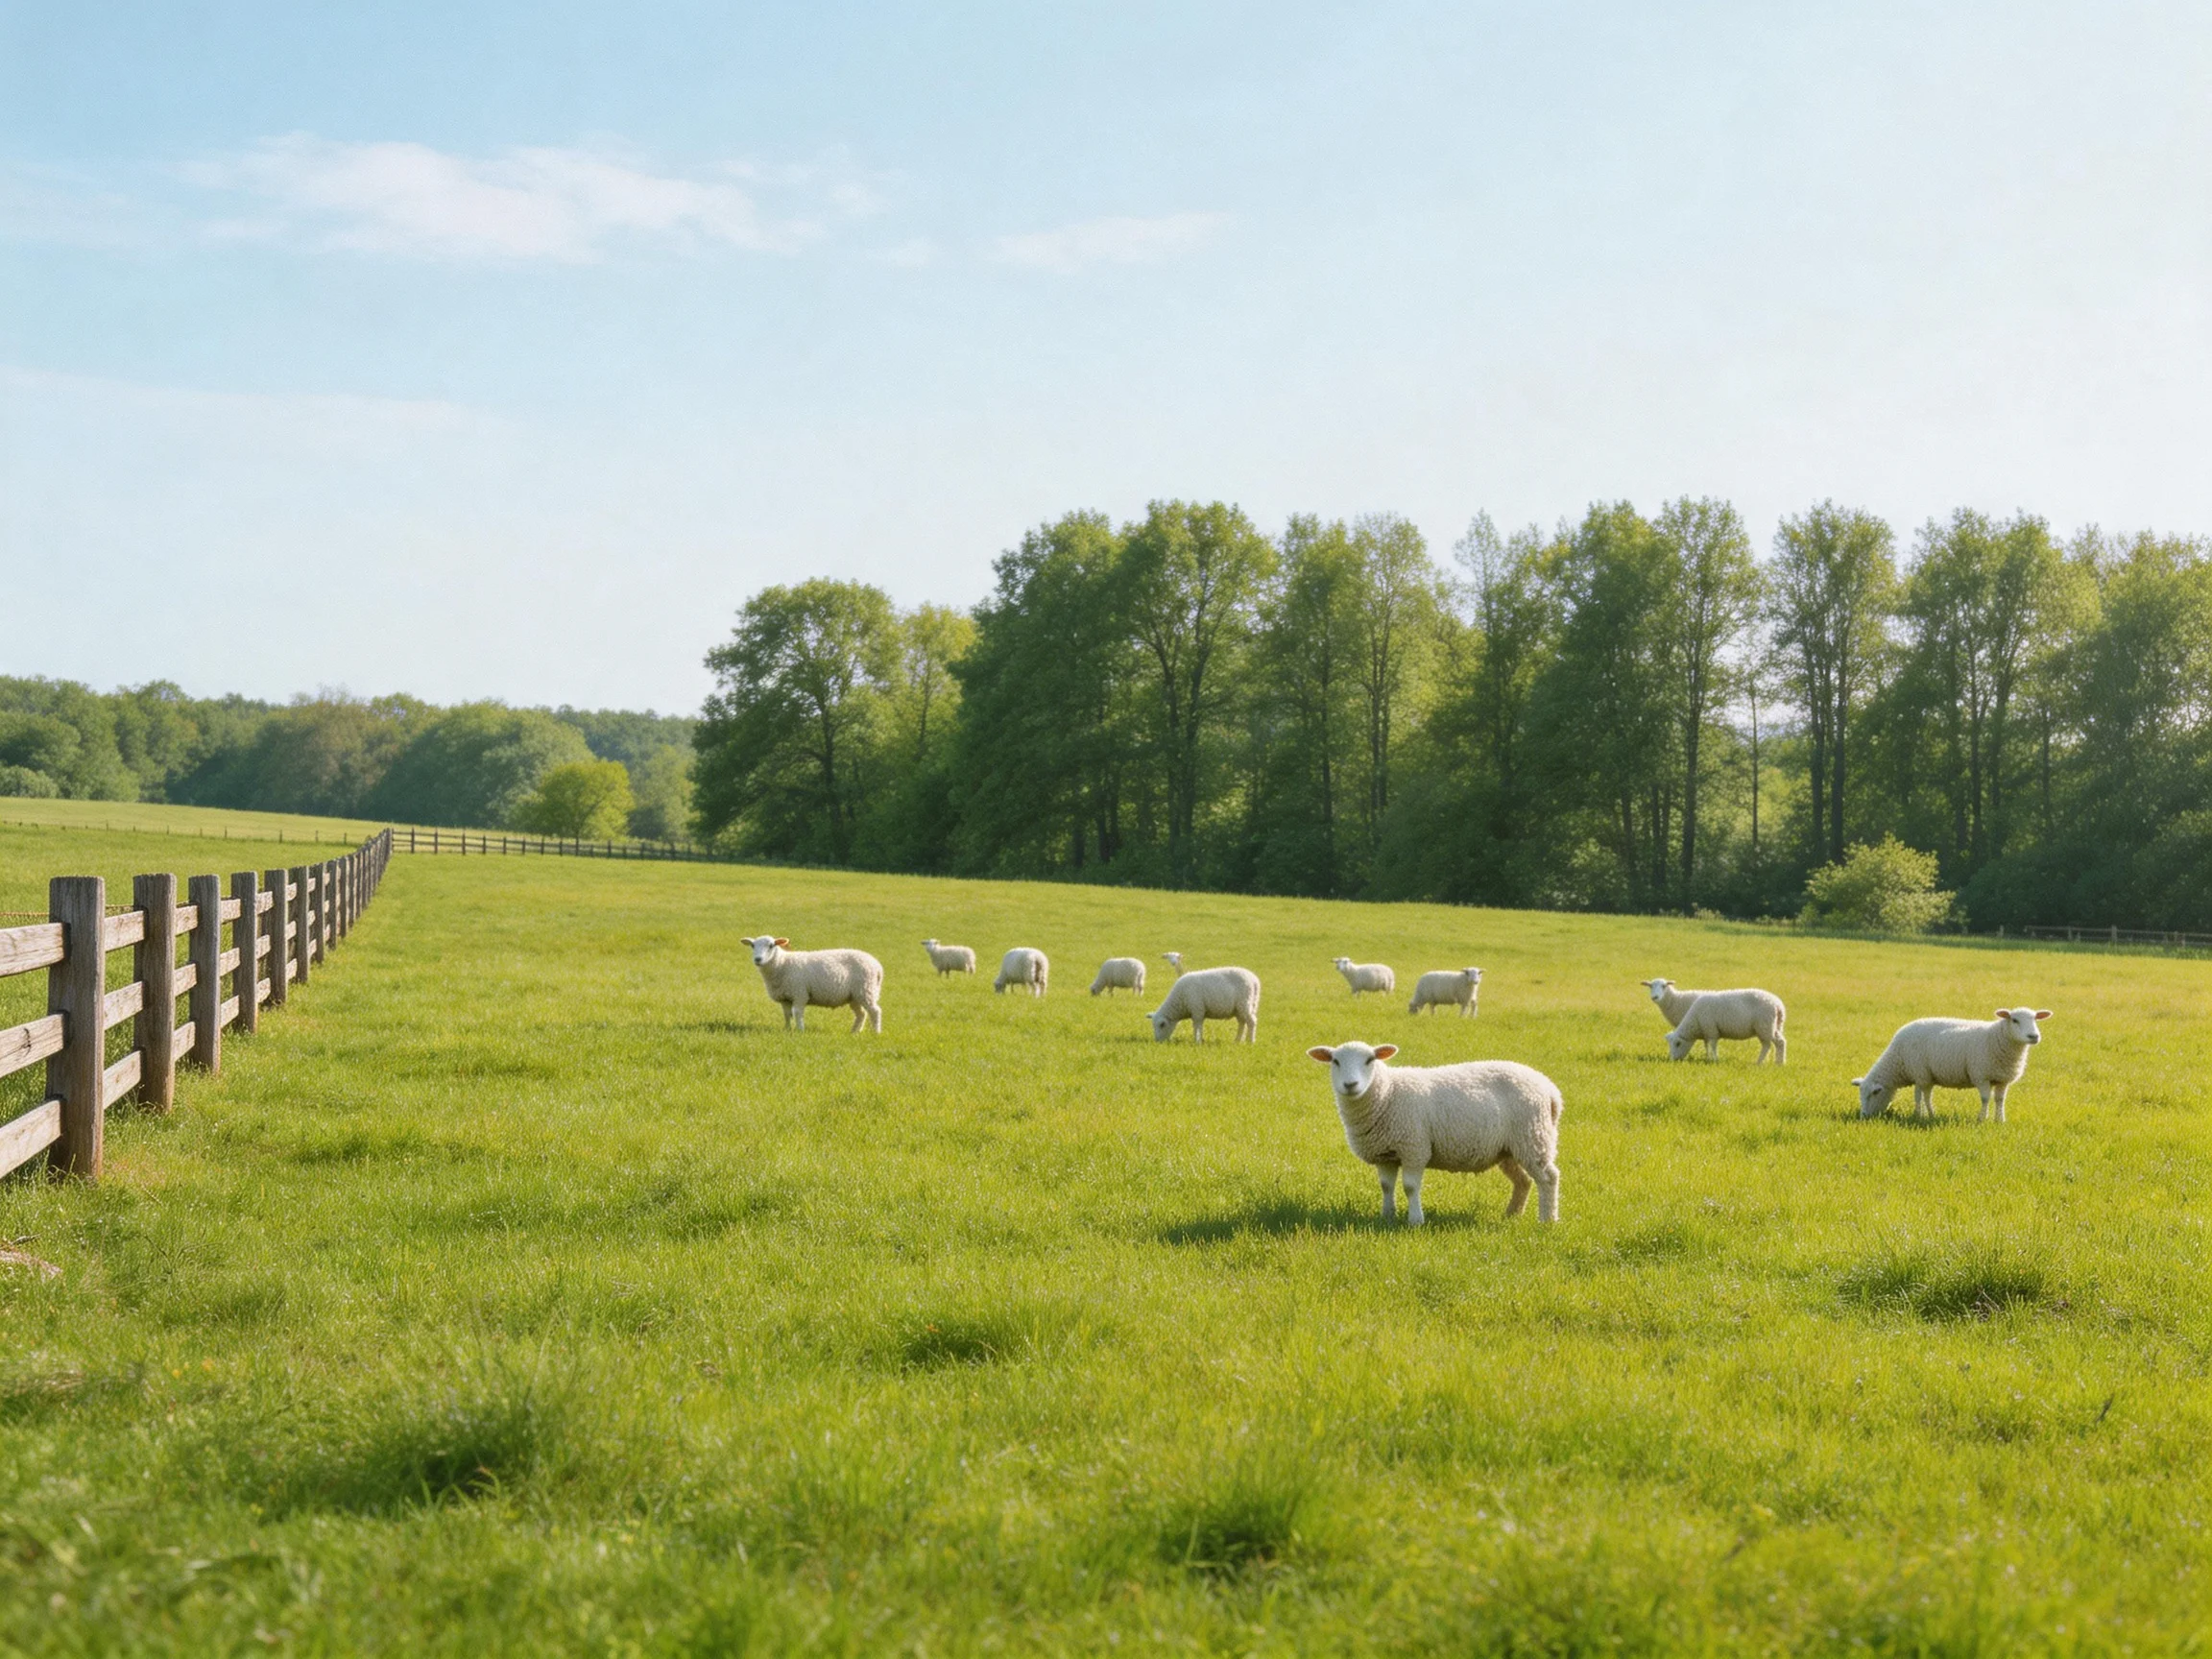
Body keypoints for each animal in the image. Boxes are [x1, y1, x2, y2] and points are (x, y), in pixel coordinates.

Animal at [741, 936, 883, 1032]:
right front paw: (787, 1030)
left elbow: (797, 1012)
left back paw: (875, 1033)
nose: (758, 959)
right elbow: (787, 1015)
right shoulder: (785, 998)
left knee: (875, 1011)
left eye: (771, 945)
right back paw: (854, 1032)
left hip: (866, 990)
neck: (782, 964)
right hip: (855, 996)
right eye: (752, 946)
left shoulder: (799, 994)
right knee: (861, 1014)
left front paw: (800, 1031)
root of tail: (877, 966)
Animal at [1309, 1041, 1563, 1224]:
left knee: (1548, 1178)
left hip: (1532, 1136)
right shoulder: (1385, 1153)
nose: (1350, 1085)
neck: (1388, 1093)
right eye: (1335, 1061)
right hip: (1509, 1148)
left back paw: (1547, 1220)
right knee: (1524, 1181)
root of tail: (1551, 1090)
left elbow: (1410, 1187)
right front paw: (1387, 1216)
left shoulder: (1414, 1148)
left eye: (1370, 1060)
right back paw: (1511, 1214)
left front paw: (1415, 1220)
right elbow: (1386, 1186)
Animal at [1664, 989, 1787, 1064]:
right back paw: (1779, 1063)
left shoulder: (1711, 1030)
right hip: (1775, 1027)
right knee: (1781, 1043)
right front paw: (1707, 1057)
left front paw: (1715, 1060)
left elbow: (1713, 1045)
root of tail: (1778, 1005)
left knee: (1767, 1046)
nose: (1673, 1060)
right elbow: (1707, 1046)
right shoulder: (1707, 1031)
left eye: (1678, 1044)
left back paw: (1759, 1062)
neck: (1695, 1020)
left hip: (1764, 1026)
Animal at [1854, 1008, 2051, 1122]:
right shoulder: (1924, 1074)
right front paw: (1923, 1115)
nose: (2034, 1036)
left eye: (2036, 1020)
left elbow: (1998, 1100)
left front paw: (1997, 1120)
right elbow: (1922, 1097)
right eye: (2015, 1020)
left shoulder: (2001, 1078)